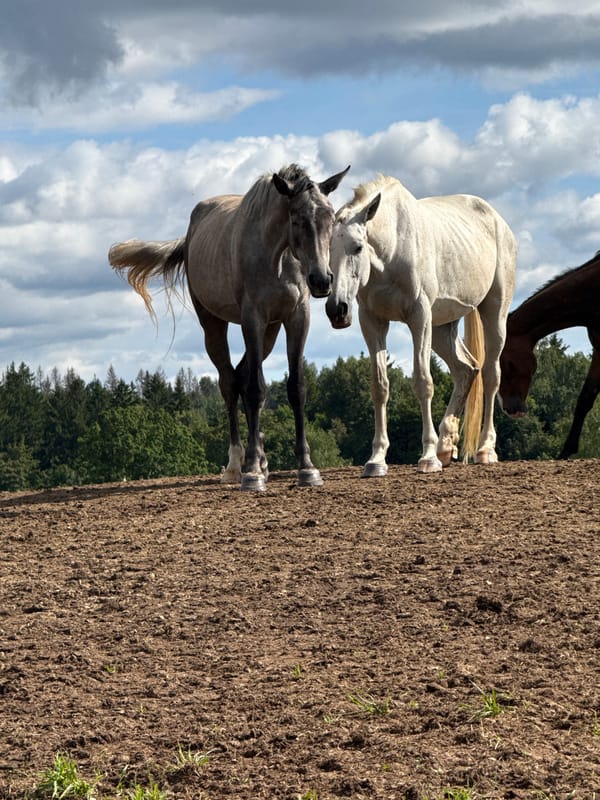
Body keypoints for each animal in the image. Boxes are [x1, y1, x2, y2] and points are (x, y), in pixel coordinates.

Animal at [109, 163, 350, 491]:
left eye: (331, 218)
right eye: (297, 219)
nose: (322, 280)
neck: (278, 257)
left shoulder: (296, 318)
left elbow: (296, 388)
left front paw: (306, 467)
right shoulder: (252, 318)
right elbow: (255, 389)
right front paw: (251, 472)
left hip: (270, 331)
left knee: (241, 373)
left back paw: (259, 458)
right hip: (215, 325)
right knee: (230, 382)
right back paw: (238, 464)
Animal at [325, 175, 517, 475]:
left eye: (357, 247)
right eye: (326, 249)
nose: (336, 309)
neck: (393, 249)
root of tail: (499, 222)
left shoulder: (419, 318)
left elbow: (423, 382)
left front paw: (427, 457)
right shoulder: (373, 322)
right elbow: (379, 387)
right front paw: (376, 460)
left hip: (494, 314)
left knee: (489, 374)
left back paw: (485, 449)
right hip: (442, 328)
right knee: (466, 369)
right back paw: (446, 446)